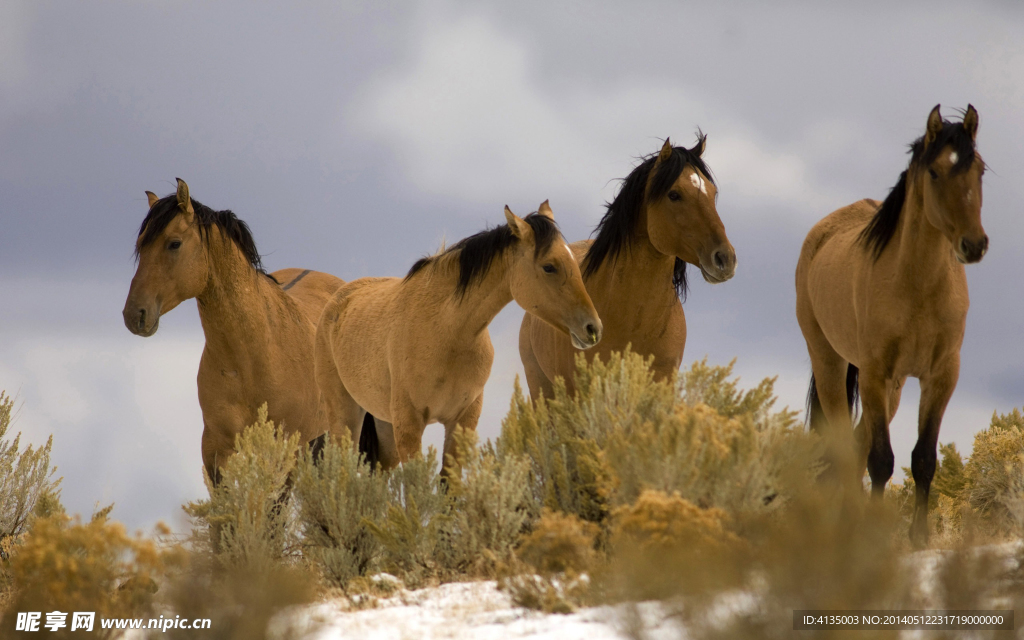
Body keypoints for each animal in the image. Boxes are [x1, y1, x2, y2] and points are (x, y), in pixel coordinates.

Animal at [121, 178, 388, 481]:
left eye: (174, 243)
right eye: (140, 245)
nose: (134, 314)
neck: (252, 359)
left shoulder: (288, 449)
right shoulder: (215, 451)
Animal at [314, 201, 602, 475]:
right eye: (549, 267)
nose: (593, 328)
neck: (446, 332)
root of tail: (336, 302)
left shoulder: (462, 421)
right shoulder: (410, 425)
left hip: (383, 424)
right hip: (345, 415)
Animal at [796, 105, 987, 546]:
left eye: (980, 169)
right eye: (934, 171)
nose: (974, 244)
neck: (917, 285)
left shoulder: (940, 376)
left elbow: (923, 458)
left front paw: (919, 537)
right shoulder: (875, 372)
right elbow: (880, 459)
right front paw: (873, 535)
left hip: (894, 387)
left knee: (855, 443)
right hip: (831, 364)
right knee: (845, 448)